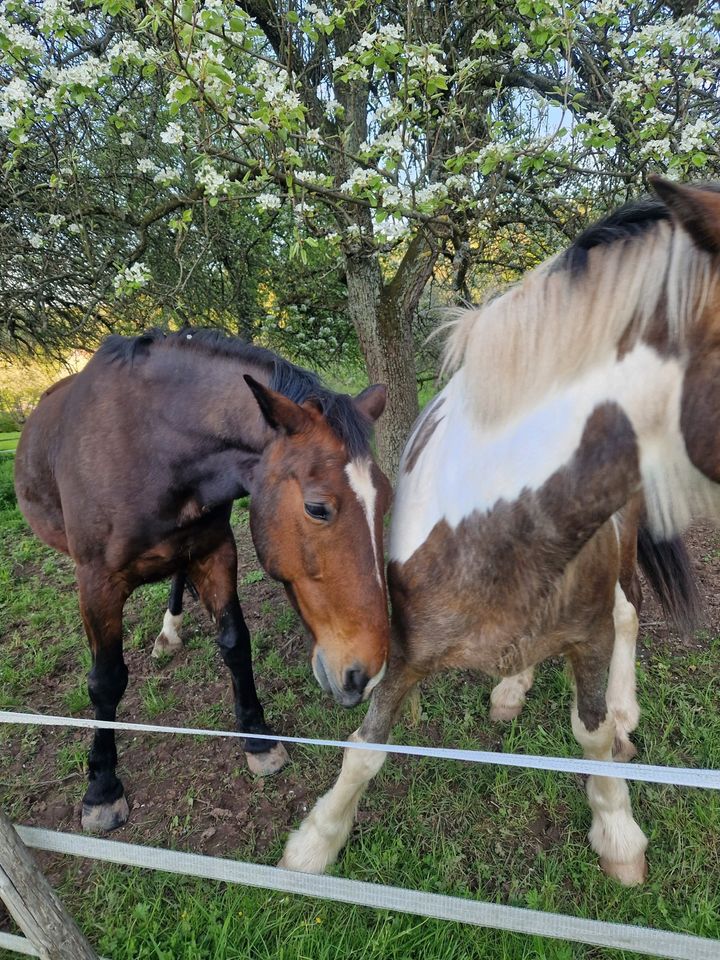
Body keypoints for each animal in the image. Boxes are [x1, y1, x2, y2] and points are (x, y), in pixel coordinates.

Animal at [14, 330, 390, 832]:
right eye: (317, 508)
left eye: (386, 500)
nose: (365, 673)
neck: (151, 445)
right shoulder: (96, 581)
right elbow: (106, 680)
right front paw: (102, 789)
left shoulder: (216, 551)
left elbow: (234, 642)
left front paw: (257, 739)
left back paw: (170, 631)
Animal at [282, 178, 720, 884]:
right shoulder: (400, 649)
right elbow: (365, 747)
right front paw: (316, 843)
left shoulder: (589, 636)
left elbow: (594, 731)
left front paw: (618, 833)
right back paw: (513, 686)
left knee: (627, 612)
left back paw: (622, 706)